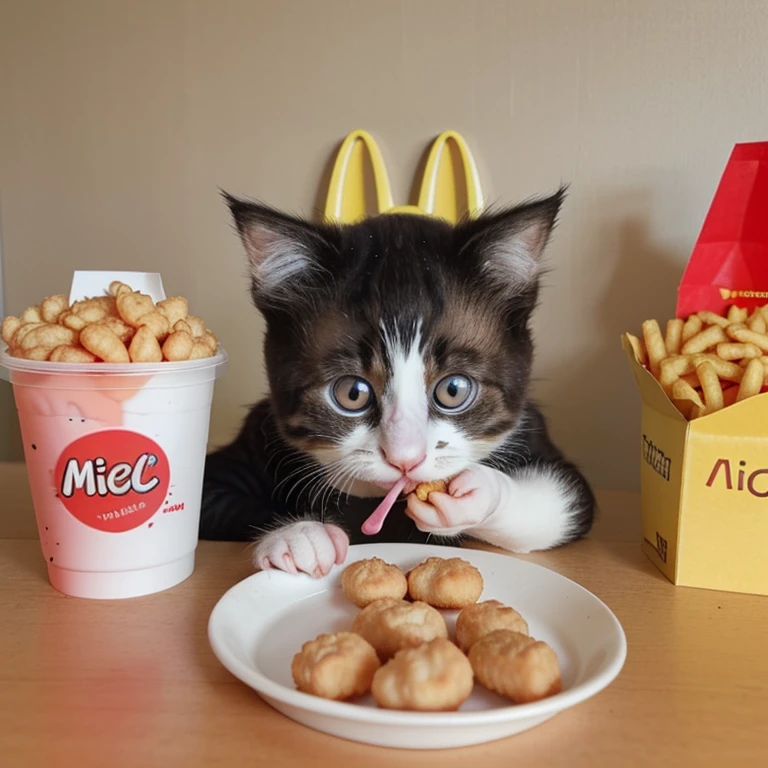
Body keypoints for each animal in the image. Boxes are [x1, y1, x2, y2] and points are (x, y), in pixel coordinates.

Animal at [198, 190, 592, 576]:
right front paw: (300, 535)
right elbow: (208, 490)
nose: (405, 459)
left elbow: (566, 498)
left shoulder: (533, 434)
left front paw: (473, 495)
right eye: (352, 393)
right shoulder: (259, 434)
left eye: (453, 390)